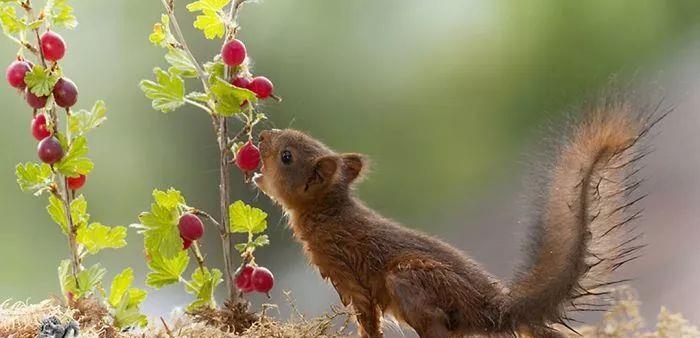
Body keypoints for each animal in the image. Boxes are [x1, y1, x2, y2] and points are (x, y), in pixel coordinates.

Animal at [253, 98, 668, 338]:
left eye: (287, 156)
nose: (262, 136)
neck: (330, 212)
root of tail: (491, 309)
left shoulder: (349, 274)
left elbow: (368, 320)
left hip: (409, 278)